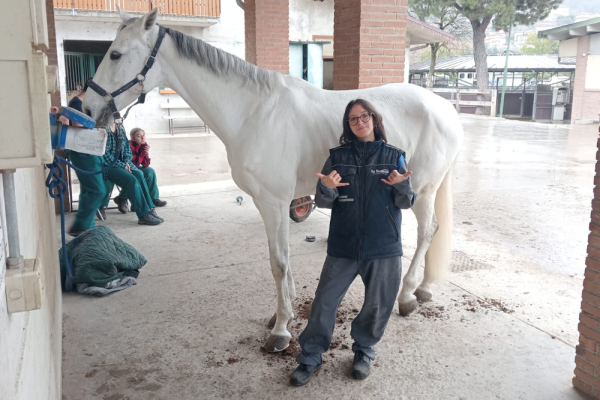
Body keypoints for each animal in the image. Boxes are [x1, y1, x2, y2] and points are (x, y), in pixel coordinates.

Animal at [82, 8, 464, 354]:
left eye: (115, 54)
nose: (85, 108)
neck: (254, 112)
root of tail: (445, 108)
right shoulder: (267, 203)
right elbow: (279, 259)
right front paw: (285, 312)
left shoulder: (275, 201)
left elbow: (279, 262)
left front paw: (280, 331)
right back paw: (424, 289)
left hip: (420, 189)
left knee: (428, 231)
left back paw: (408, 295)